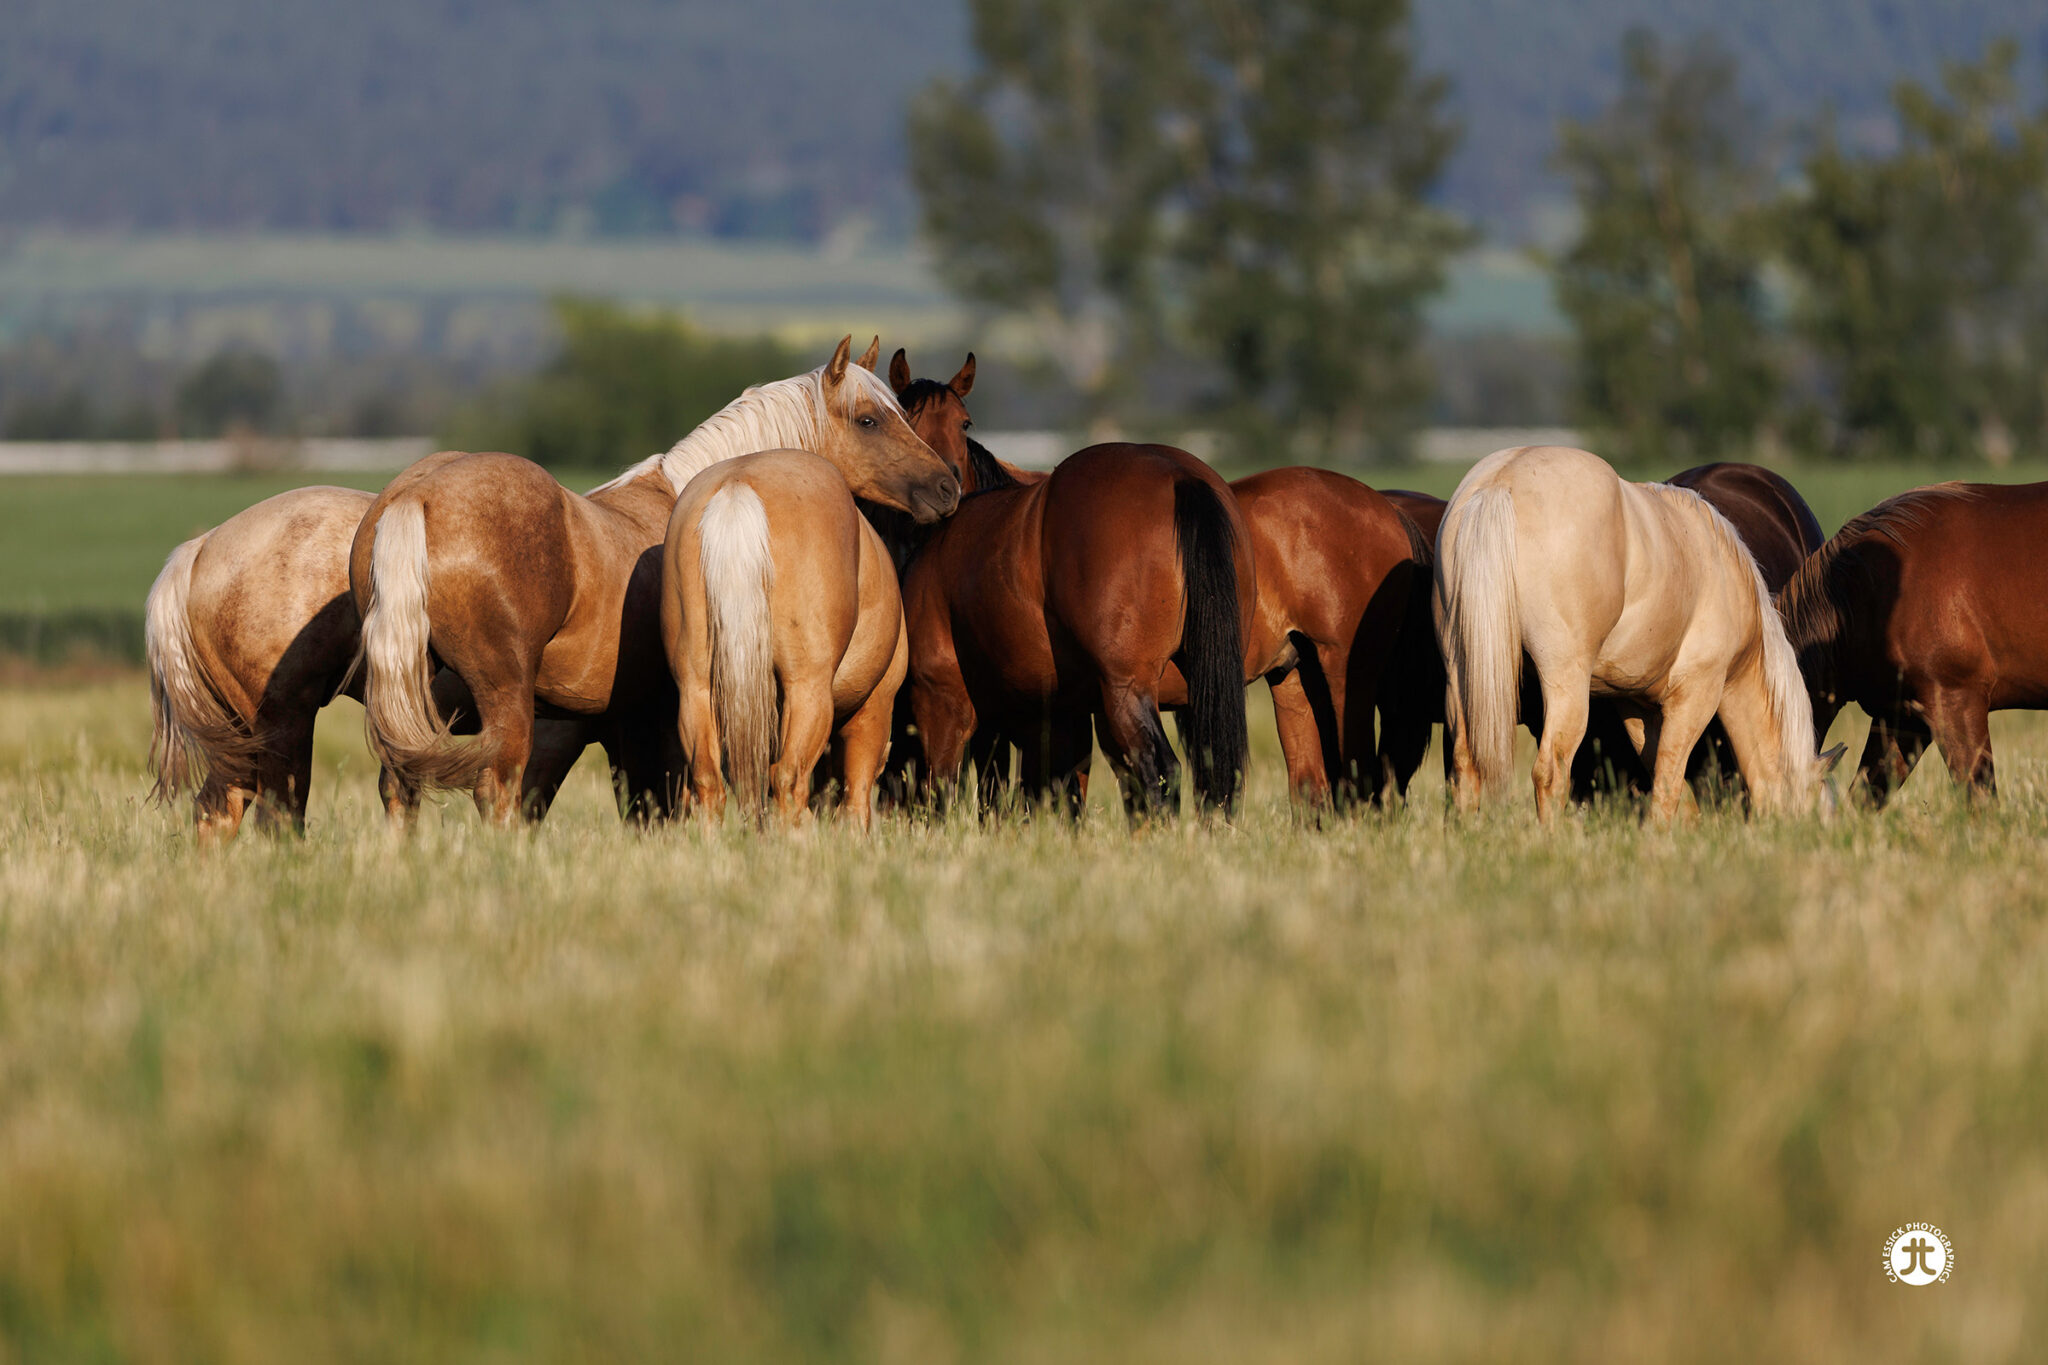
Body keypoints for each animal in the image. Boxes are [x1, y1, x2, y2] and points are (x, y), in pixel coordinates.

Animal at [662, 450, 906, 828]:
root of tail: (736, 485)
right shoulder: (875, 706)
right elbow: (856, 802)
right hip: (807, 690)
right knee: (789, 781)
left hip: (696, 688)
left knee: (709, 782)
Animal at [1435, 445, 1821, 824]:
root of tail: (1500, 483)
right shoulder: (1697, 695)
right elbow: (1668, 779)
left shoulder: (1635, 705)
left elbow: (1667, 779)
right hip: (1565, 682)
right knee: (1550, 772)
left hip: (1460, 673)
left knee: (1465, 764)